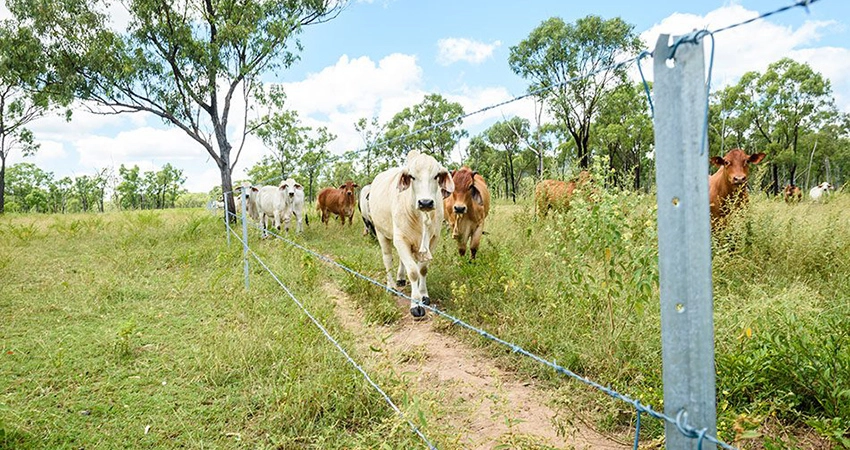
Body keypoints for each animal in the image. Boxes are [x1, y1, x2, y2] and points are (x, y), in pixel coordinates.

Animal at [369, 150, 454, 318]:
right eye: (412, 176)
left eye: (436, 176)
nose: (426, 202)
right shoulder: (400, 239)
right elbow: (413, 272)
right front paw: (415, 305)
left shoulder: (433, 239)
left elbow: (422, 269)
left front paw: (423, 295)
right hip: (381, 233)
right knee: (388, 259)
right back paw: (391, 286)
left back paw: (400, 279)